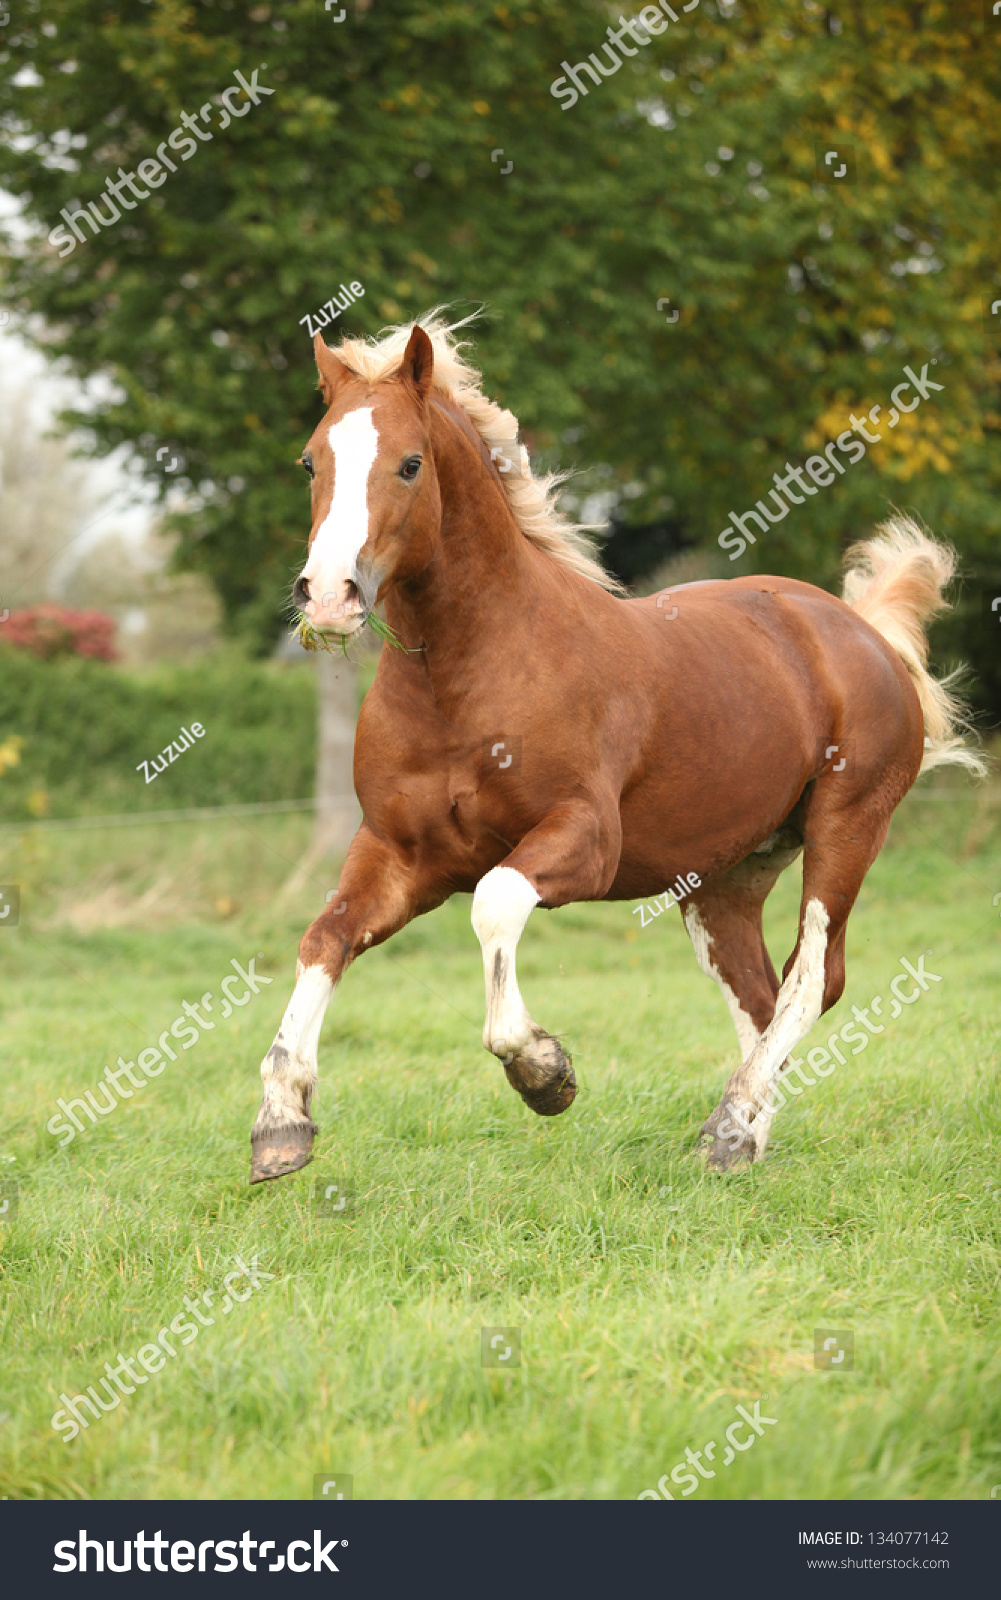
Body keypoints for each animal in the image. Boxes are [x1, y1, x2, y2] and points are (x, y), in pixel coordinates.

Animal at [246, 308, 978, 1190]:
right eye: (310, 460)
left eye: (409, 464)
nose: (327, 597)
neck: (465, 677)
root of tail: (861, 631)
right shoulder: (398, 853)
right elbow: (324, 938)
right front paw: (281, 1123)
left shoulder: (583, 842)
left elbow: (494, 903)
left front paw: (542, 1072)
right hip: (723, 878)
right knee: (758, 996)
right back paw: (743, 1139)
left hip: (848, 827)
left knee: (810, 979)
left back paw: (729, 1126)